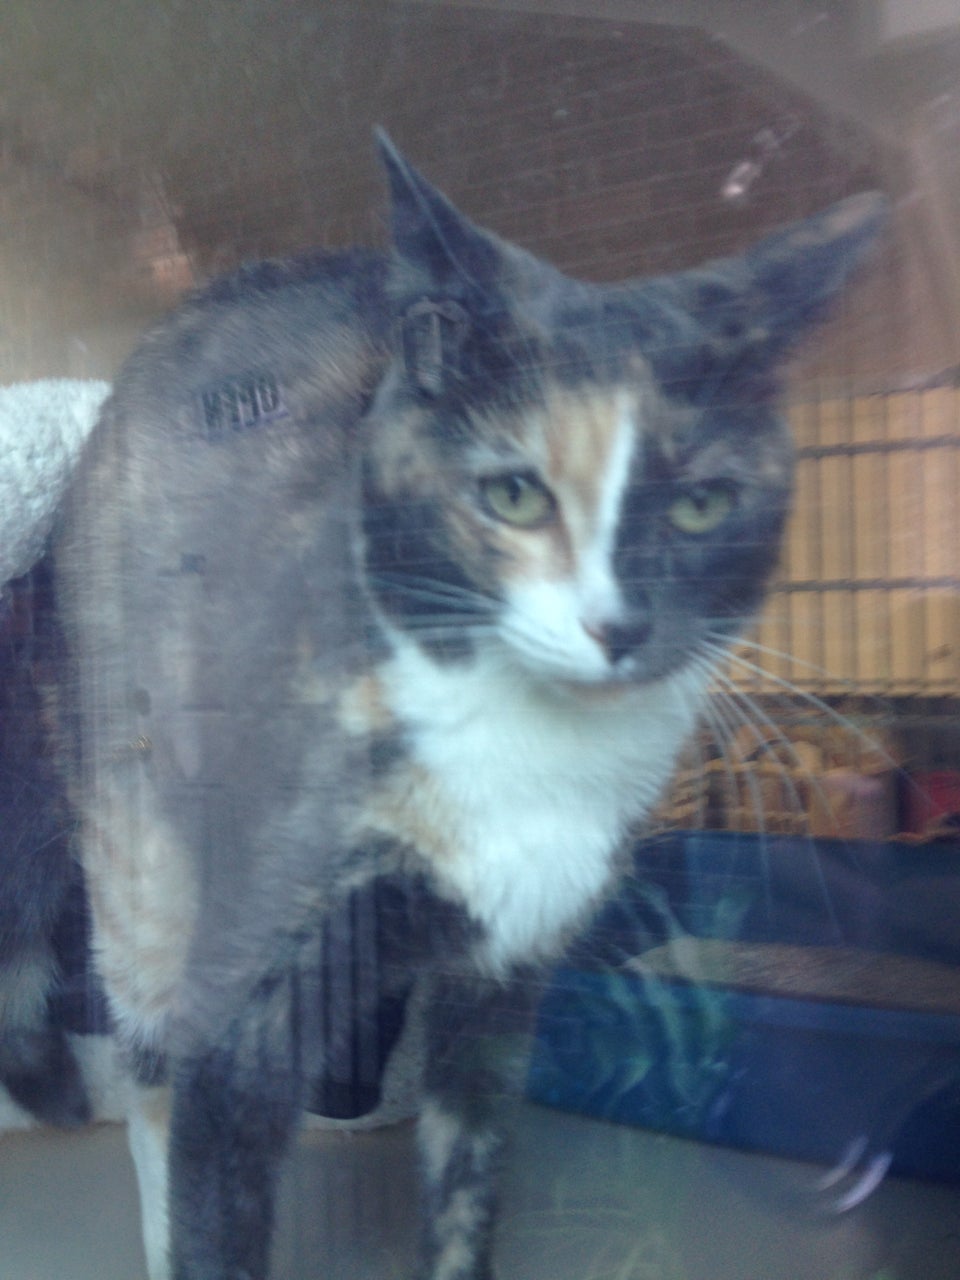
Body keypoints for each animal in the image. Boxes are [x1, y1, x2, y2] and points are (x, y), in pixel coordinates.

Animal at [54, 130, 884, 1280]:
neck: (520, 749)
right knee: (146, 1057)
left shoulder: (507, 977)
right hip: (133, 826)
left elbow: (468, 1168)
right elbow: (215, 1190)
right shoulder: (250, 982)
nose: (619, 623)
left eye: (702, 504)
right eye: (514, 493)